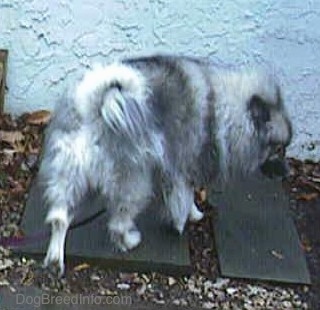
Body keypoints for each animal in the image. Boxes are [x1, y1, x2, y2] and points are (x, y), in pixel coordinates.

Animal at [38, 54, 292, 274]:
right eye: (278, 149)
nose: (288, 174)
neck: (221, 110)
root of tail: (94, 107)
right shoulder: (183, 170)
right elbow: (185, 199)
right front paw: (189, 218)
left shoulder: (170, 171)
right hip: (135, 183)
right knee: (117, 223)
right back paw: (130, 241)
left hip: (72, 179)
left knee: (60, 218)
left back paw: (55, 260)